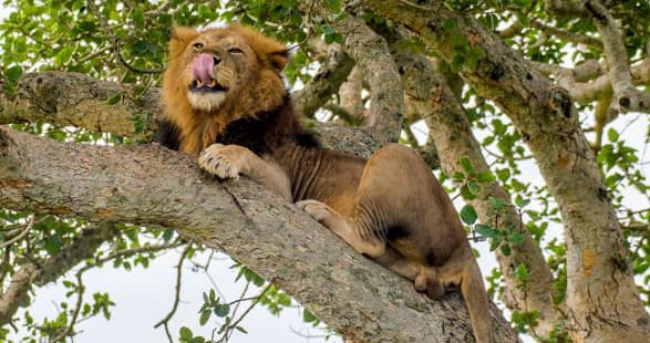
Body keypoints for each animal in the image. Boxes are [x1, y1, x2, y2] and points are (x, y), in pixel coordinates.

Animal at [159, 24, 494, 343]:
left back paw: (317, 210)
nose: (208, 58)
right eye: (198, 46)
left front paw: (221, 155)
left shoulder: (281, 185)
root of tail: (466, 250)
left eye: (235, 50)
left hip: (394, 155)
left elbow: (243, 154)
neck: (209, 118)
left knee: (370, 240)